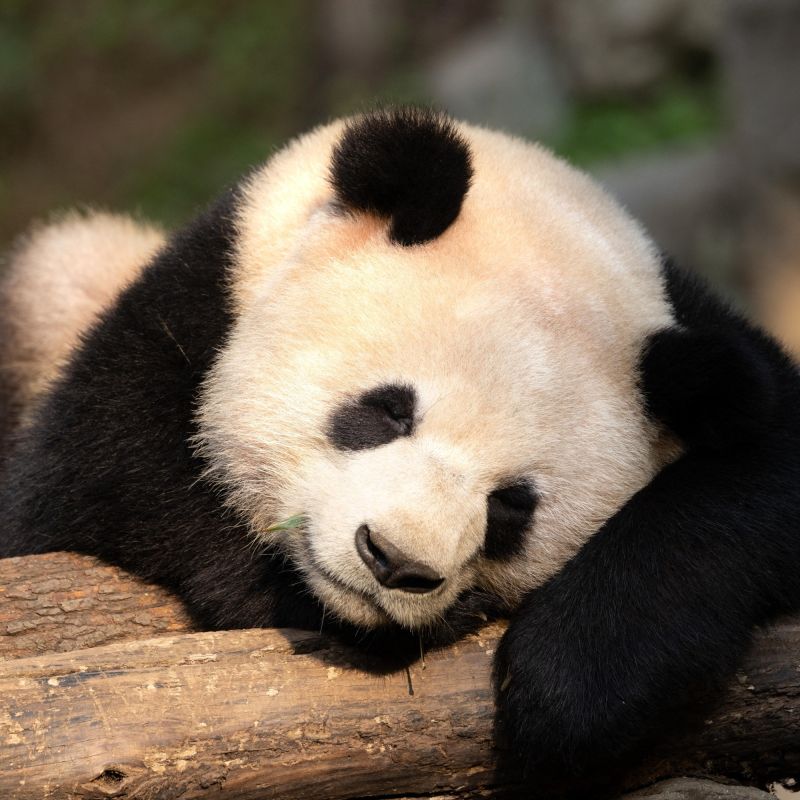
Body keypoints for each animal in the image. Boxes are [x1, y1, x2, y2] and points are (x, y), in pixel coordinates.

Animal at [2, 107, 799, 788]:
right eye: (387, 411)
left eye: (512, 507)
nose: (393, 561)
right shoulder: (189, 303)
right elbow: (98, 477)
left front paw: (578, 676)